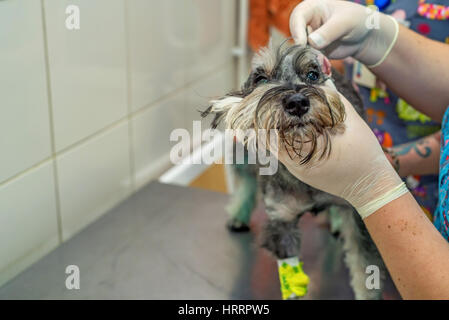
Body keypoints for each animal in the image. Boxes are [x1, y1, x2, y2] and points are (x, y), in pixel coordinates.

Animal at [200, 43, 384, 300]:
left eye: (313, 75)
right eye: (261, 78)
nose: (297, 103)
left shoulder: (360, 218)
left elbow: (365, 266)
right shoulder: (282, 221)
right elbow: (292, 279)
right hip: (243, 154)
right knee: (246, 182)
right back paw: (239, 214)